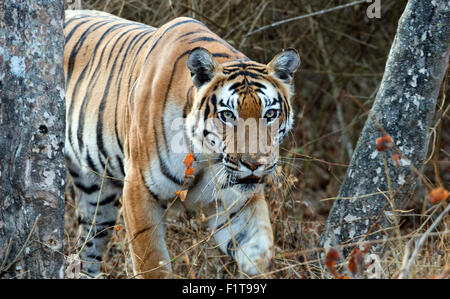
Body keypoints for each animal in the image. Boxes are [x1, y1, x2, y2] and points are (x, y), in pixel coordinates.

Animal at [65, 9, 298, 282]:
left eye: (270, 114)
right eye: (227, 115)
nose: (254, 164)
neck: (206, 155)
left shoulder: (236, 203)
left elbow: (258, 252)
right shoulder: (138, 190)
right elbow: (152, 265)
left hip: (96, 194)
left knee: (89, 245)